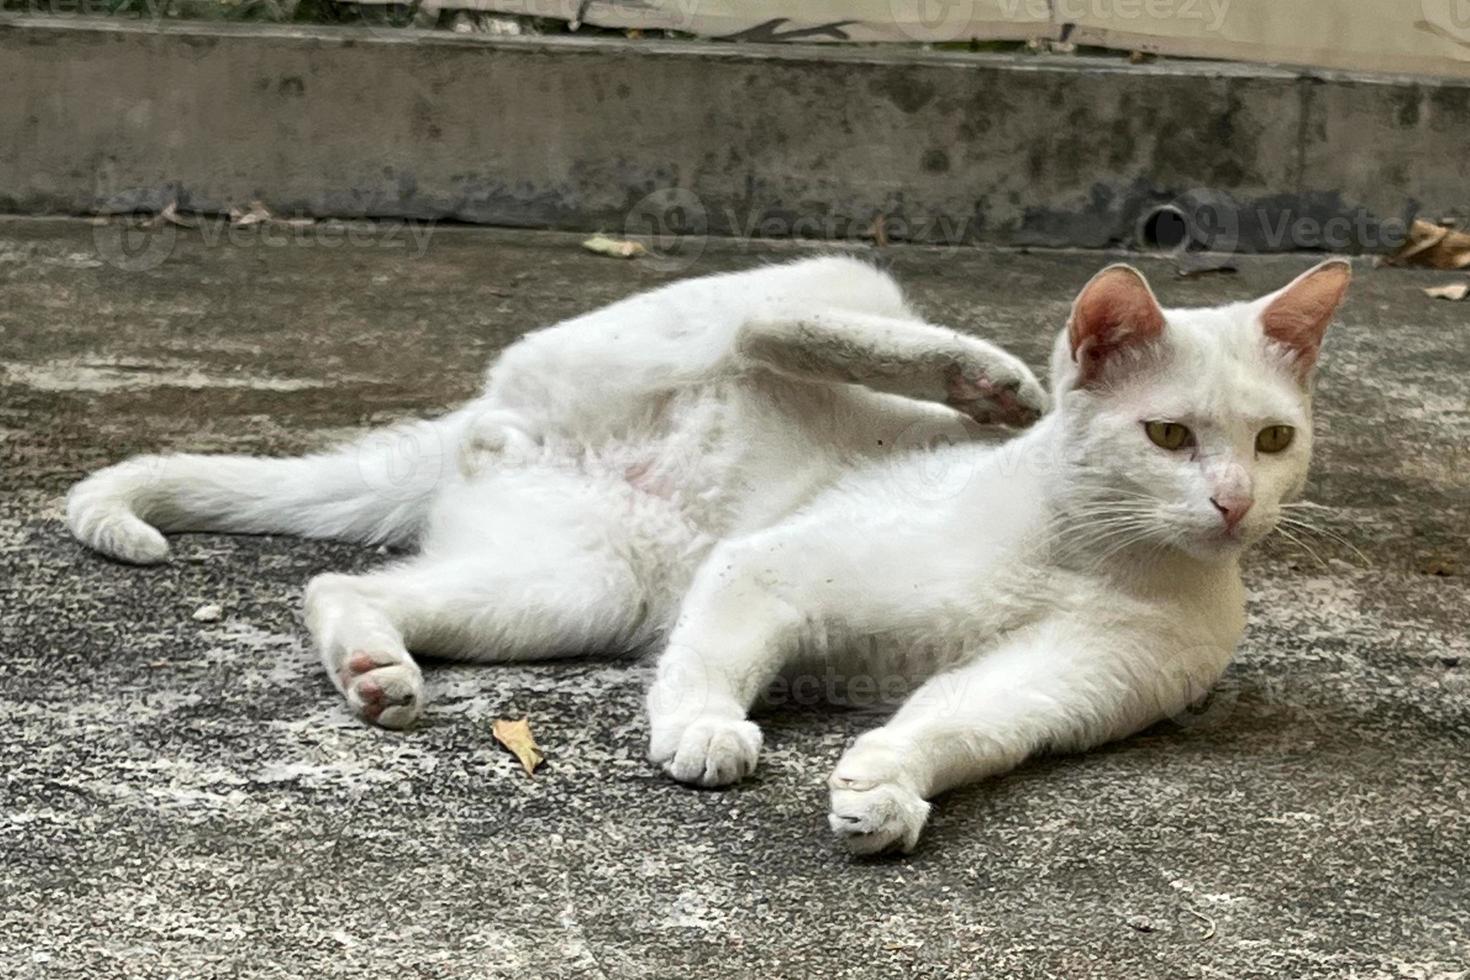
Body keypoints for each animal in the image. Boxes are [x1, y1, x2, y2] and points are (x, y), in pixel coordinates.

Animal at [69, 257, 1352, 852]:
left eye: (1274, 439)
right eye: (1170, 435)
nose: (1234, 502)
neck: (1087, 551)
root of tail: (492, 413)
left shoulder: (1053, 682)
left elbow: (956, 721)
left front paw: (882, 788)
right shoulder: (776, 569)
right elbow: (715, 653)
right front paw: (700, 730)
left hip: (572, 585)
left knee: (345, 580)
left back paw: (375, 669)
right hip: (780, 307)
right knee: (763, 320)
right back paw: (977, 375)